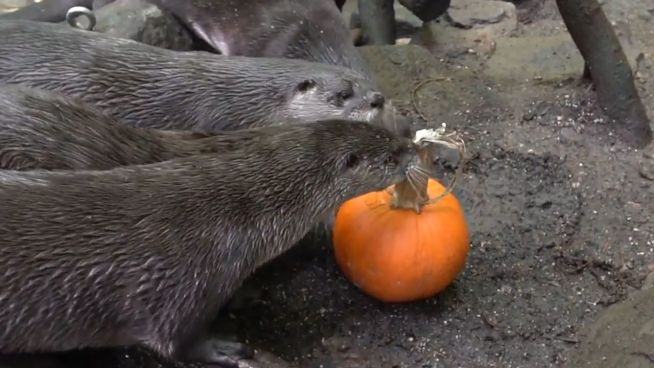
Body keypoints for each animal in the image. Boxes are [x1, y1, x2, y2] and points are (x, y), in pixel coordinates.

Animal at [0, 119, 420, 366]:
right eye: (391, 154)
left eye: (392, 135)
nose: (414, 148)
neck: (239, 213)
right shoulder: (184, 277)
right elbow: (175, 340)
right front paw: (224, 348)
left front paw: (244, 295)